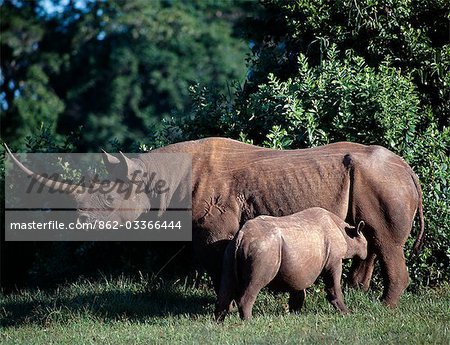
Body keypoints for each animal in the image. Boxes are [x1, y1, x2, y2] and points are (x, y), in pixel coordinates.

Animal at [214, 206, 366, 322]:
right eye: (365, 244)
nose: (364, 254)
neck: (346, 233)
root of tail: (242, 236)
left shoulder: (298, 267)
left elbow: (297, 289)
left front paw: (295, 313)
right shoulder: (334, 260)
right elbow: (333, 285)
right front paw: (347, 313)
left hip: (231, 250)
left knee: (226, 283)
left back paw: (219, 322)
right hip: (263, 249)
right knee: (255, 283)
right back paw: (249, 322)